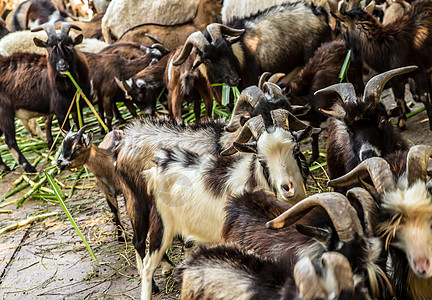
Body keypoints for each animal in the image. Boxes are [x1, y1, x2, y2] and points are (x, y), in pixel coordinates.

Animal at [334, 0, 432, 130]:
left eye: (342, 27)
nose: (346, 44)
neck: (386, 47)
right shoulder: (396, 78)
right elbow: (399, 99)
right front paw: (401, 122)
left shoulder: (419, 71)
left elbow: (424, 96)